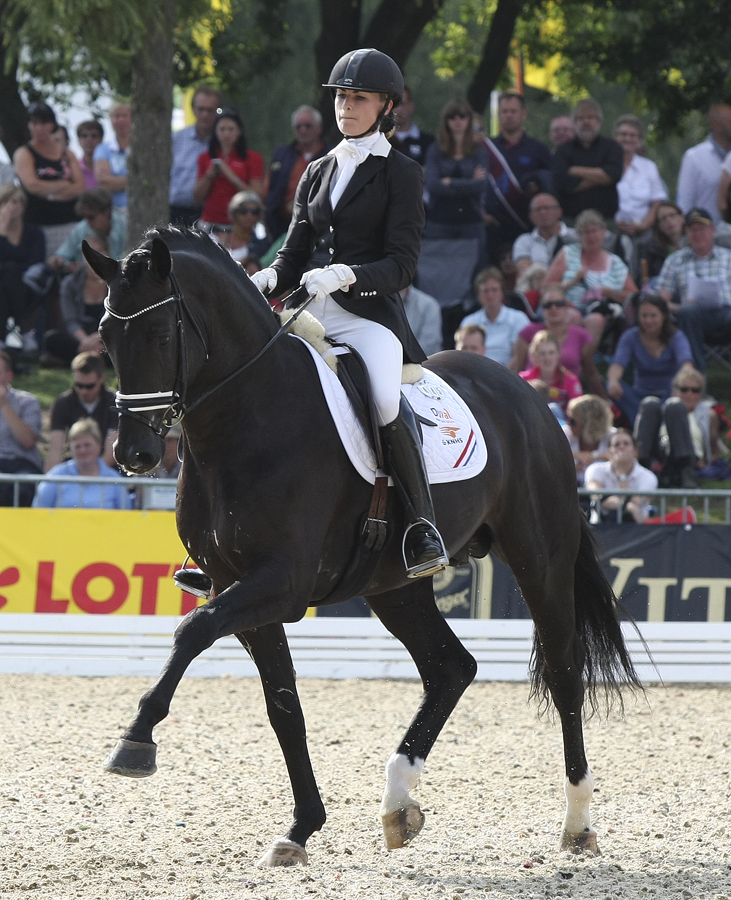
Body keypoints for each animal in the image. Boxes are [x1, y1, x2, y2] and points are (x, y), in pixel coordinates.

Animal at [83, 226, 641, 867]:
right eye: (105, 337)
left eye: (157, 333)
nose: (134, 455)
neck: (247, 416)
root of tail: (526, 396)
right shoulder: (238, 586)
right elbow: (283, 706)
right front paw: (300, 828)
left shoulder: (281, 583)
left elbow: (191, 632)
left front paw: (135, 741)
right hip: (395, 585)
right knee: (451, 667)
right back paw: (399, 803)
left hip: (539, 557)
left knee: (564, 670)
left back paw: (576, 822)